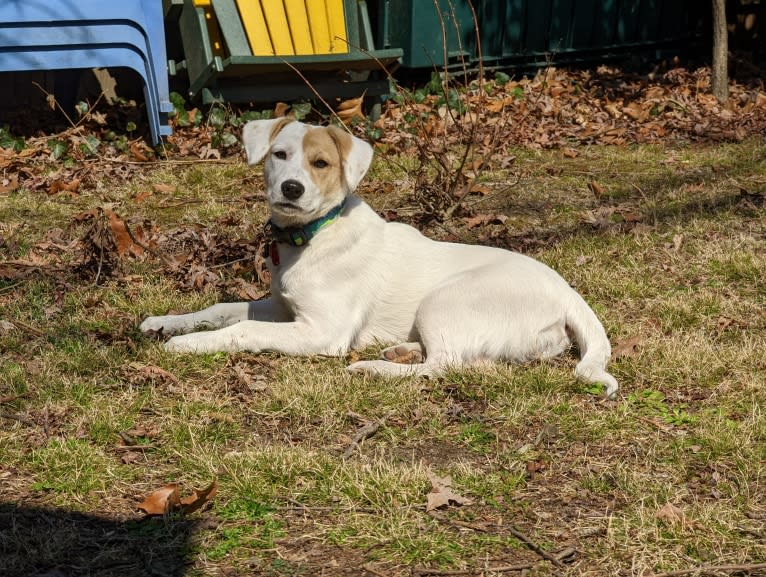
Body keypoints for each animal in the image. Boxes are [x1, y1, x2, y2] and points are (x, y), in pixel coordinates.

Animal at [141, 119, 620, 398]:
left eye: (321, 163)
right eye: (279, 155)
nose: (291, 188)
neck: (314, 234)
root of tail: (569, 294)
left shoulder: (322, 332)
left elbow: (242, 329)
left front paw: (188, 344)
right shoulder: (280, 306)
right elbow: (222, 308)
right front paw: (165, 322)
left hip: (445, 299)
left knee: (443, 366)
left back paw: (372, 367)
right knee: (459, 359)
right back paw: (400, 350)